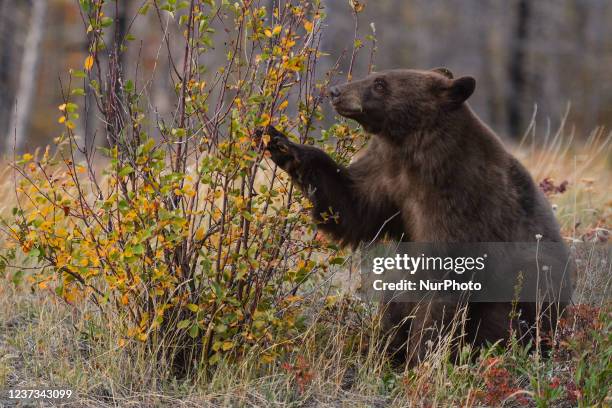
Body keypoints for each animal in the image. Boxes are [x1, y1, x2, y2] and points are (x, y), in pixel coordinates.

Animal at [260, 68, 572, 364]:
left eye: (380, 83)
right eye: (374, 76)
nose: (336, 92)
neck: (413, 152)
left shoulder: (458, 201)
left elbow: (441, 285)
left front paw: (421, 357)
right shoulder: (386, 176)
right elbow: (348, 206)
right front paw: (280, 142)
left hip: (525, 289)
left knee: (505, 320)